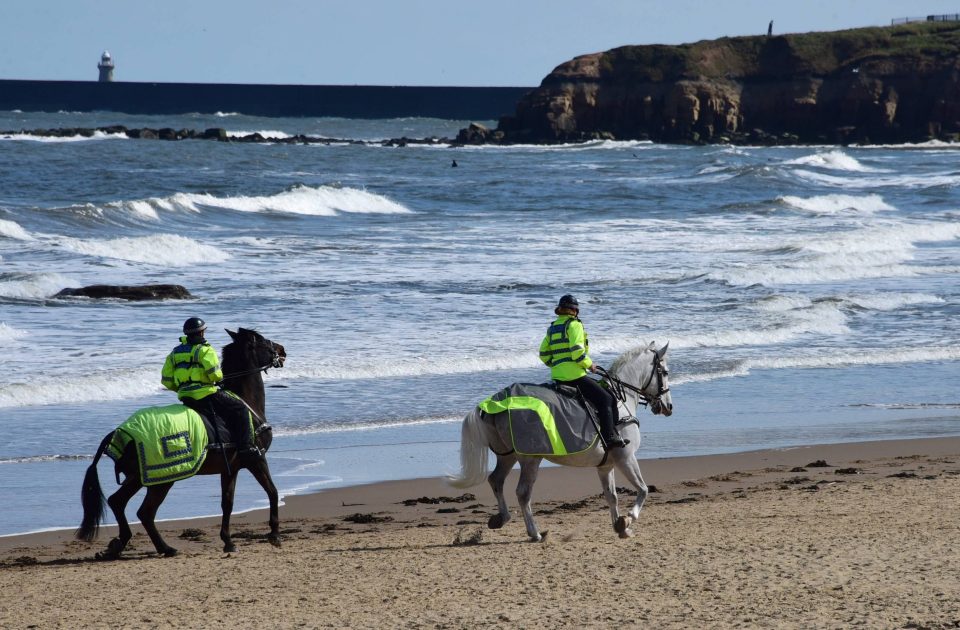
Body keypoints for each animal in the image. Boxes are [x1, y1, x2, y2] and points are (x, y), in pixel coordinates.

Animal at [76, 328, 284, 560]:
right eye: (265, 341)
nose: (282, 350)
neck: (246, 402)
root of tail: (120, 432)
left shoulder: (230, 468)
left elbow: (227, 503)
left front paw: (228, 541)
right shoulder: (256, 460)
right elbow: (272, 492)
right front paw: (274, 534)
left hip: (138, 478)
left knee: (118, 502)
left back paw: (121, 544)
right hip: (159, 480)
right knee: (144, 512)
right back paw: (163, 548)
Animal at [448, 340, 668, 544]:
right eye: (665, 372)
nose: (668, 407)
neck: (620, 402)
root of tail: (495, 402)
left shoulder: (606, 465)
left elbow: (611, 496)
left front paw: (620, 526)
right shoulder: (626, 457)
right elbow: (643, 489)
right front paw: (629, 519)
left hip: (507, 456)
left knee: (496, 480)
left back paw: (502, 518)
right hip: (530, 458)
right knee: (523, 493)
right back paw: (535, 533)